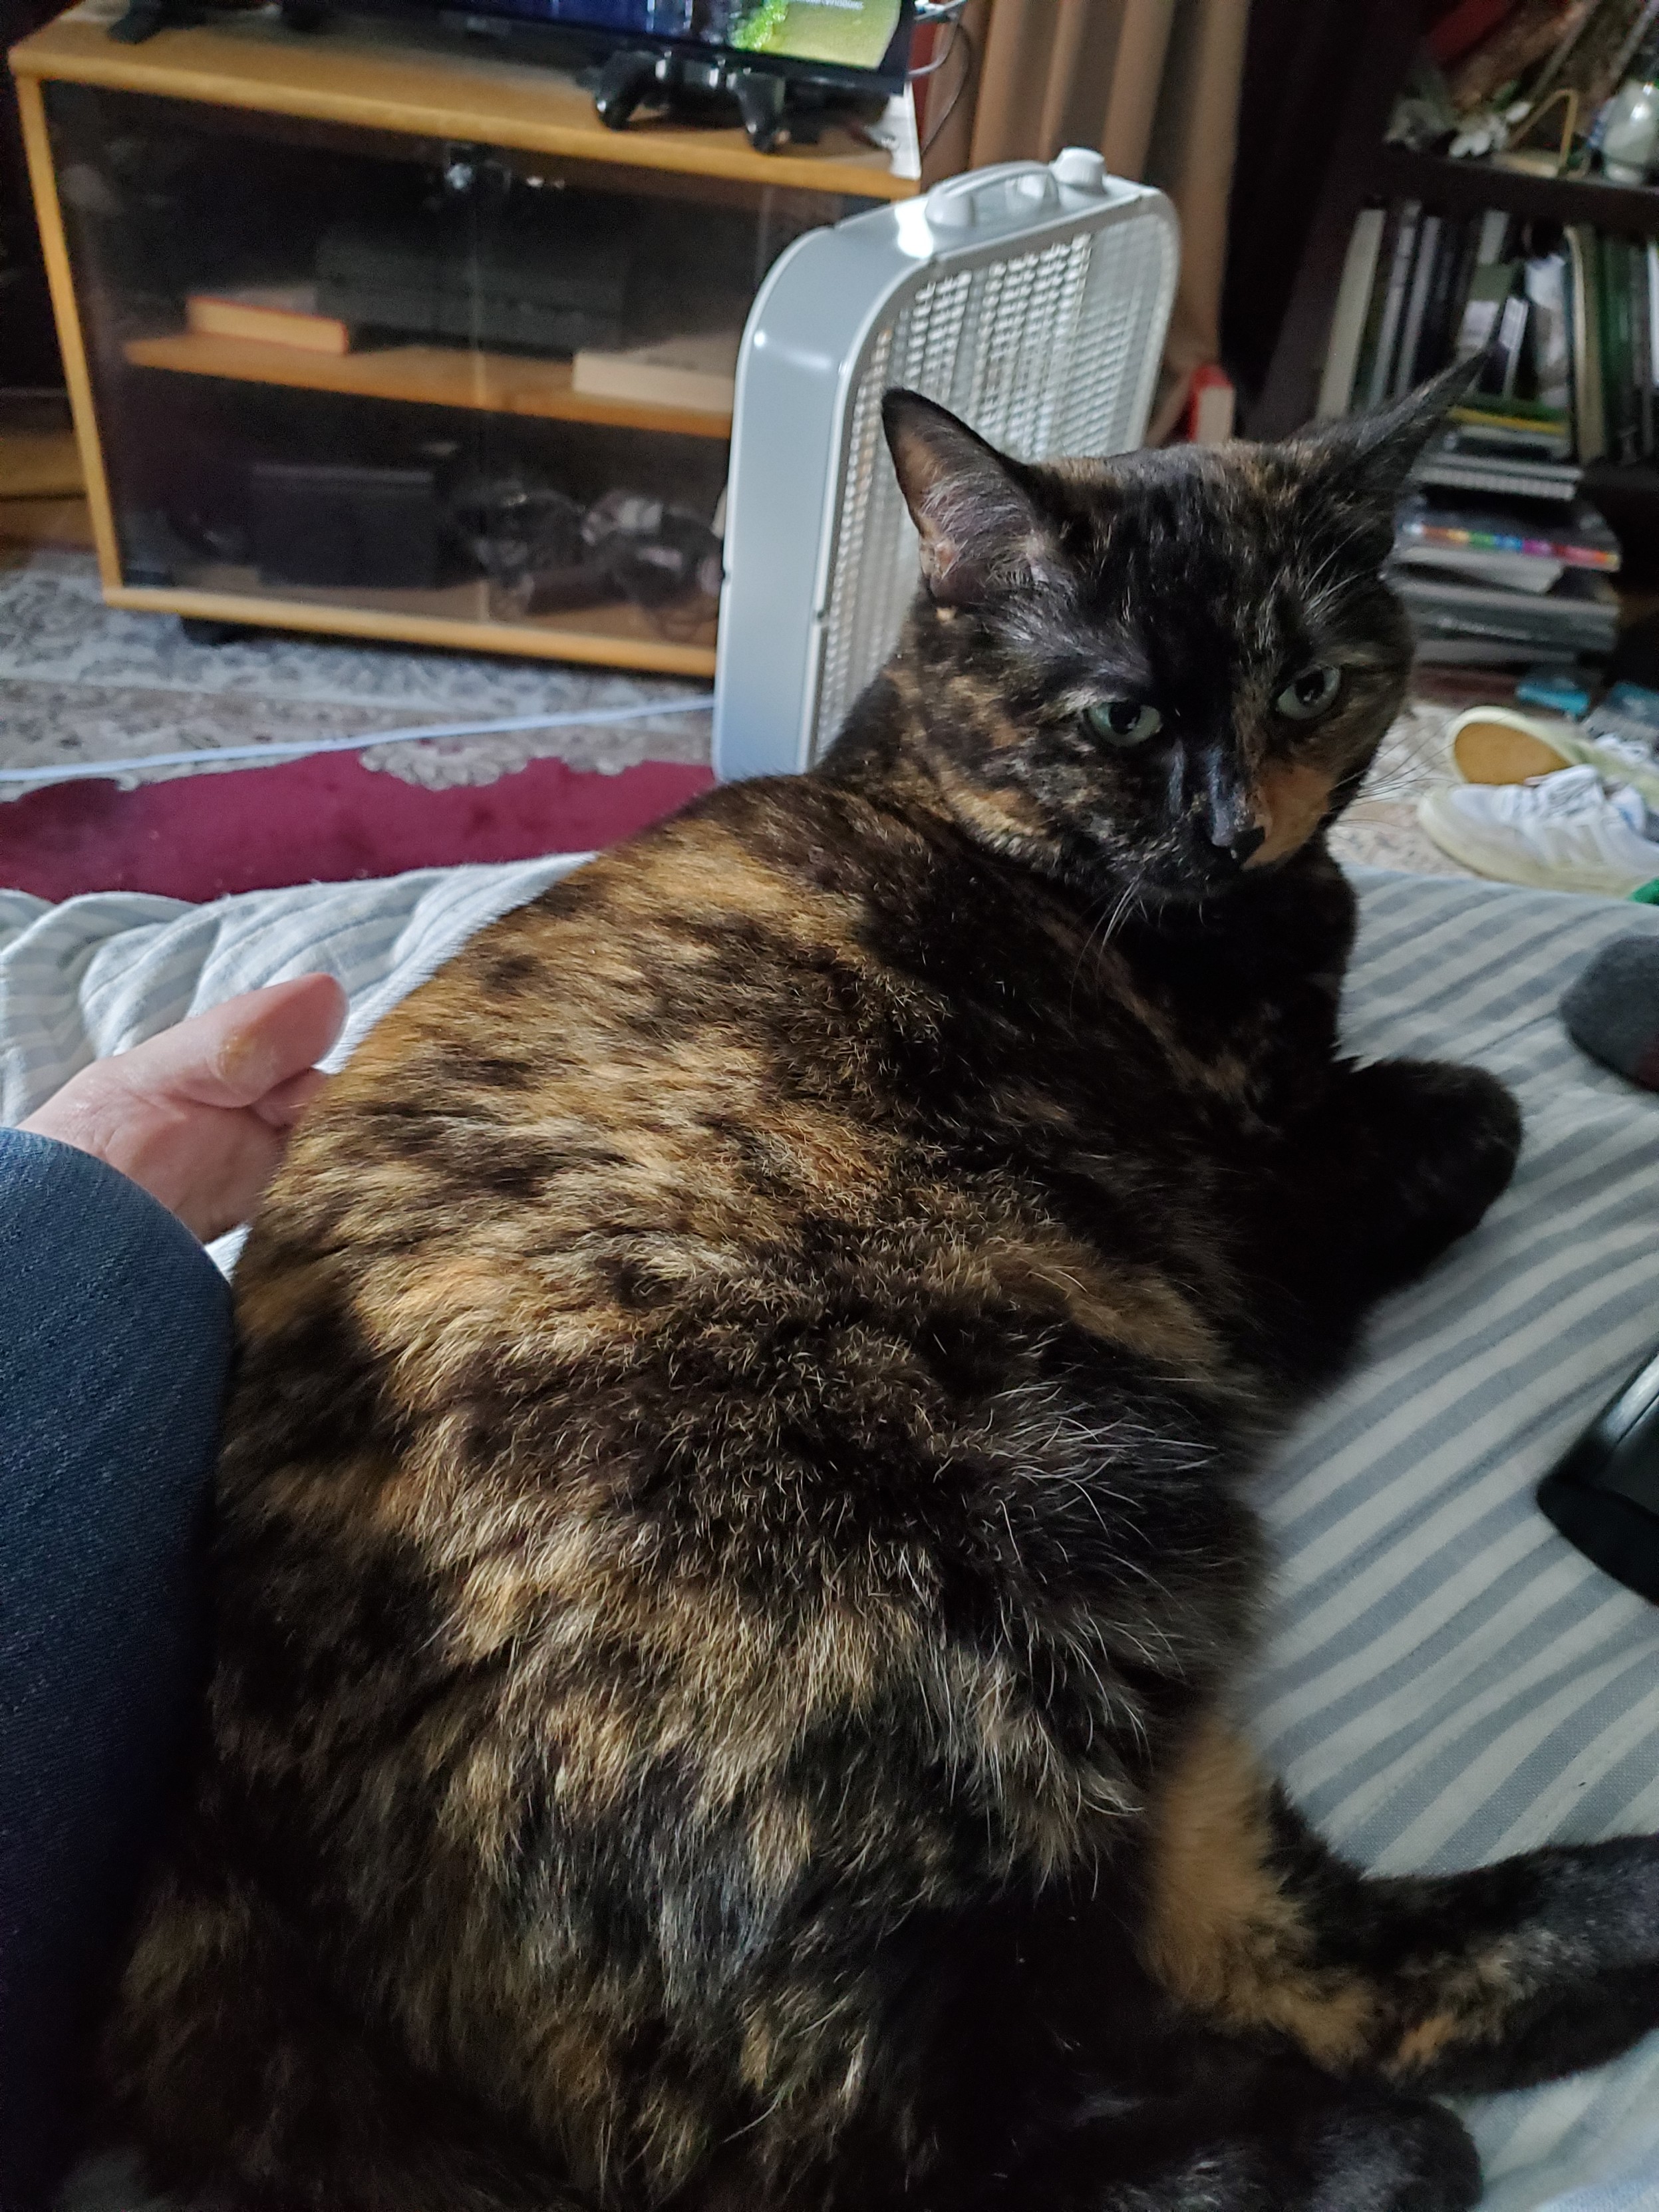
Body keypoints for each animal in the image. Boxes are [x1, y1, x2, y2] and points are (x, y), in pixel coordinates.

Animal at [104, 361, 1659, 2212]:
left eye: (1306, 684)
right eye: (1119, 718)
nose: (1230, 825)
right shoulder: (1262, 1212)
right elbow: (1481, 1111)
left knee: (1226, 1941)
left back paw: (1614, 1925)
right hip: (1009, 1564)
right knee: (961, 2121)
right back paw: (1408, 2139)